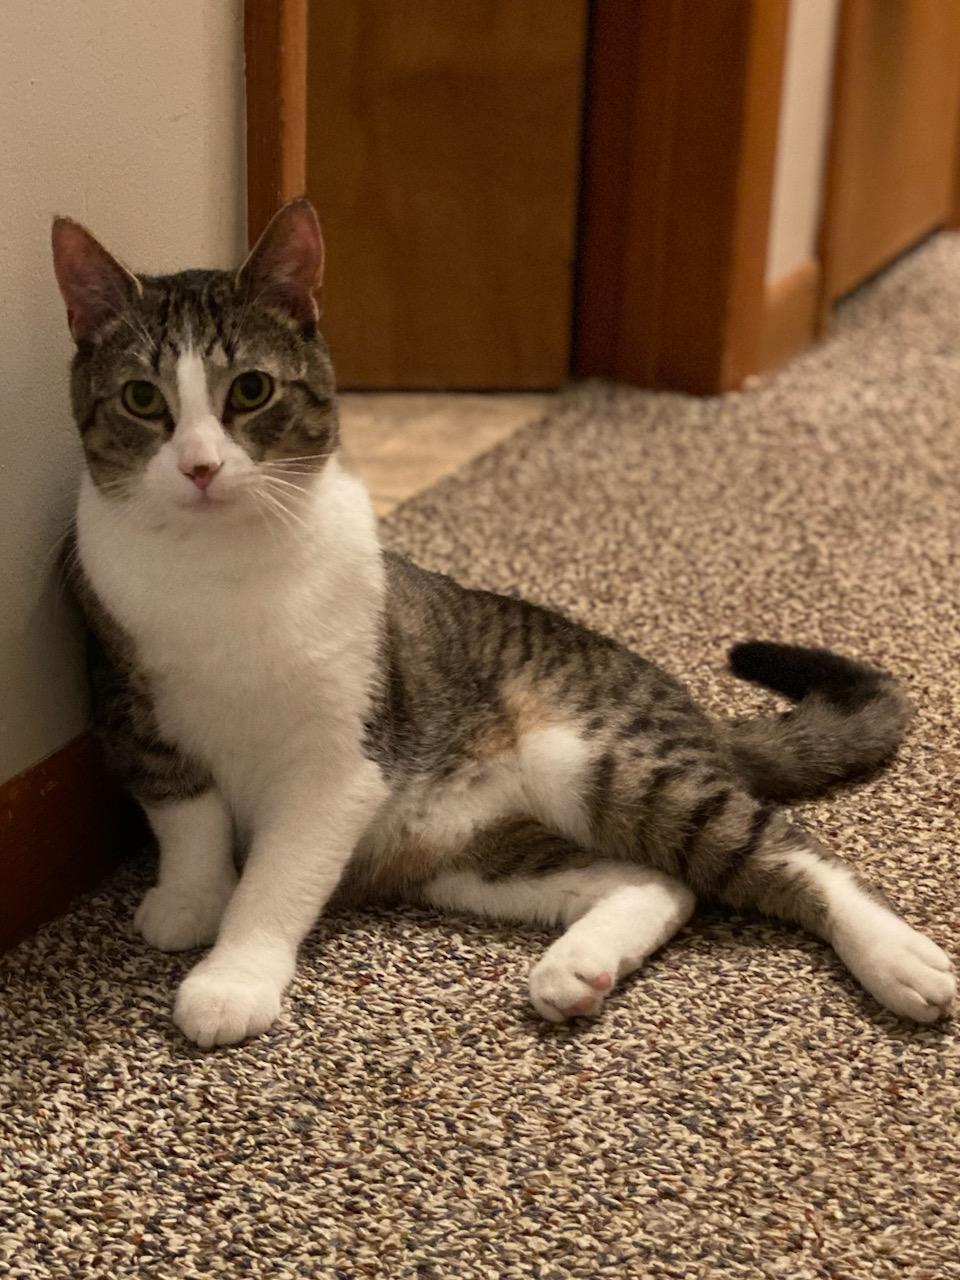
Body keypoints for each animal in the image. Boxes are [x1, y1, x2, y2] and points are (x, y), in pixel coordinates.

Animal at [50, 194, 957, 1044]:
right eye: (142, 399)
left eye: (250, 390)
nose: (200, 467)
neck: (223, 571)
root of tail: (692, 711)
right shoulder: (137, 716)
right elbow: (190, 823)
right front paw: (190, 900)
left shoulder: (339, 762)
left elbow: (279, 874)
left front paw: (233, 975)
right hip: (469, 855)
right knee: (660, 882)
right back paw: (578, 968)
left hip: (600, 758)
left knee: (786, 851)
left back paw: (898, 957)